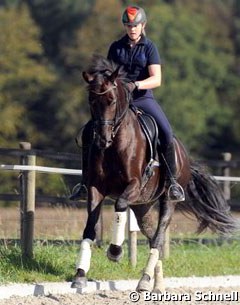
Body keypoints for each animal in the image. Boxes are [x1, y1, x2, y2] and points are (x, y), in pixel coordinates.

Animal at [71, 55, 238, 290]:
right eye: (91, 101)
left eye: (111, 100)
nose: (102, 140)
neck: (115, 144)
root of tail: (184, 156)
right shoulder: (96, 187)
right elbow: (90, 227)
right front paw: (80, 274)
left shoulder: (133, 185)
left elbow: (119, 205)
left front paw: (115, 251)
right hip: (143, 206)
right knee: (151, 237)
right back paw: (155, 283)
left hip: (167, 199)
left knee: (158, 238)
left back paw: (144, 281)